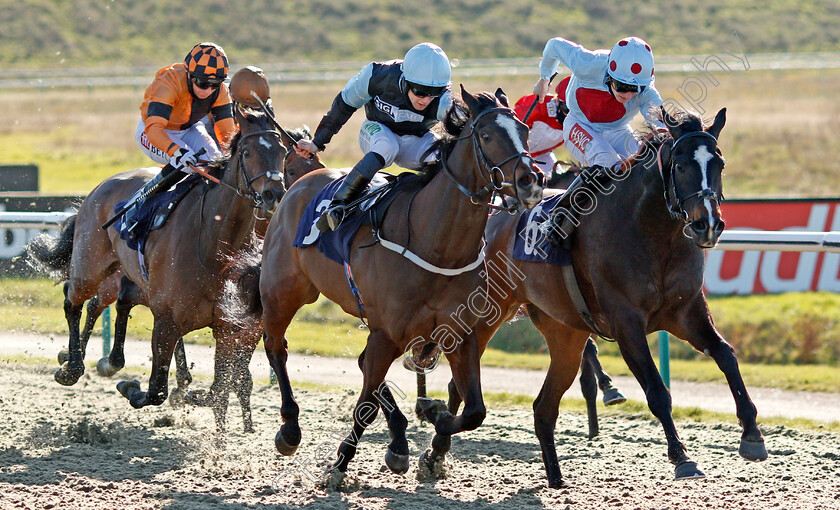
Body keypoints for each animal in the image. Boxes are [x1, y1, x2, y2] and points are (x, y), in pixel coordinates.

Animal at [27, 106, 288, 430]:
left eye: (283, 151)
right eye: (249, 152)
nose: (274, 194)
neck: (214, 244)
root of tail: (101, 186)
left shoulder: (232, 328)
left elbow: (219, 388)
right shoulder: (166, 319)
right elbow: (157, 390)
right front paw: (132, 386)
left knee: (108, 301)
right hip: (90, 267)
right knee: (73, 299)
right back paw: (72, 366)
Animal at [258, 88, 544, 486]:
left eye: (525, 131)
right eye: (487, 136)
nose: (531, 180)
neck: (437, 245)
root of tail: (303, 178)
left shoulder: (460, 333)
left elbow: (475, 411)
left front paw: (432, 425)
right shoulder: (387, 333)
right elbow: (364, 407)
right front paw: (340, 465)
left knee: (362, 365)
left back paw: (399, 441)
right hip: (282, 291)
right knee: (277, 347)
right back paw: (289, 428)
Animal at [436, 106, 764, 486]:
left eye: (719, 164)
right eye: (681, 166)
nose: (707, 224)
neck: (652, 232)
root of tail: (489, 221)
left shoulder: (686, 312)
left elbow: (726, 355)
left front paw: (752, 434)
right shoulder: (626, 323)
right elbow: (657, 391)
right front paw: (681, 457)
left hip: (564, 332)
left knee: (542, 406)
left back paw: (553, 477)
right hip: (488, 312)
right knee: (459, 382)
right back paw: (434, 451)